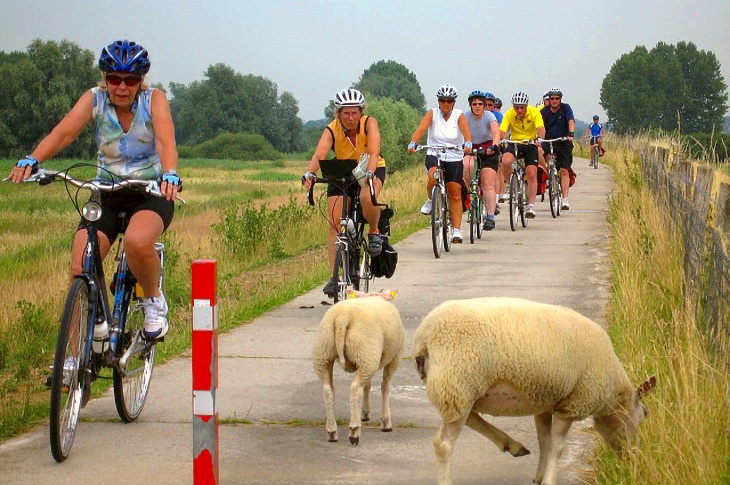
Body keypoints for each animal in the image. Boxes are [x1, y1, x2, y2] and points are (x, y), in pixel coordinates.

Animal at [312, 294, 406, 444]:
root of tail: (342, 316)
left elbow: (367, 386)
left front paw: (366, 412)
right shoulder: (395, 356)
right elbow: (385, 387)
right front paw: (386, 422)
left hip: (324, 353)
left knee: (328, 390)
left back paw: (332, 431)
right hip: (366, 352)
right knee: (355, 389)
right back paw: (354, 431)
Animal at [410, 294, 656, 484]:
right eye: (644, 415)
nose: (636, 456)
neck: (612, 394)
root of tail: (424, 337)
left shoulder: (544, 403)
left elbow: (544, 441)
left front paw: (539, 476)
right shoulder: (573, 404)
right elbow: (558, 446)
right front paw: (550, 479)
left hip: (457, 389)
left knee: (471, 417)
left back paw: (512, 445)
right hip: (458, 382)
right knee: (443, 444)